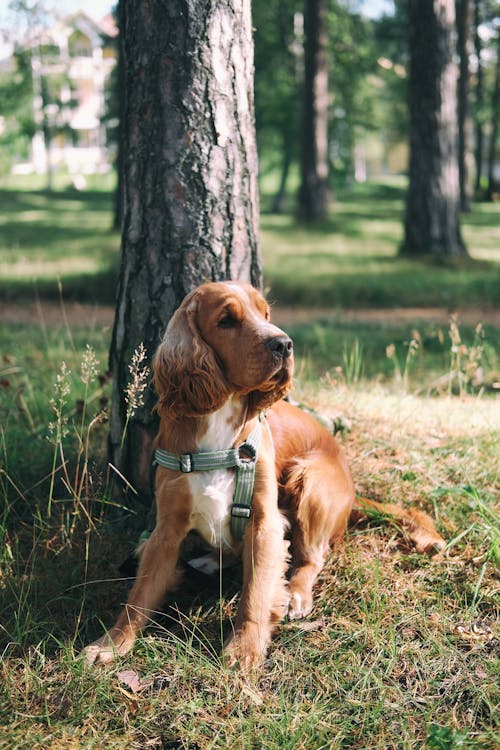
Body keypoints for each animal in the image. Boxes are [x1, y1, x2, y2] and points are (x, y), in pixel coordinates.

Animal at [83, 282, 446, 668]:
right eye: (226, 320)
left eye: (266, 314)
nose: (284, 344)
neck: (220, 425)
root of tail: (351, 488)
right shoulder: (166, 526)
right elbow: (140, 592)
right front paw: (112, 642)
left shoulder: (265, 523)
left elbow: (255, 592)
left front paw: (244, 649)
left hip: (310, 480)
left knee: (312, 557)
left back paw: (297, 594)